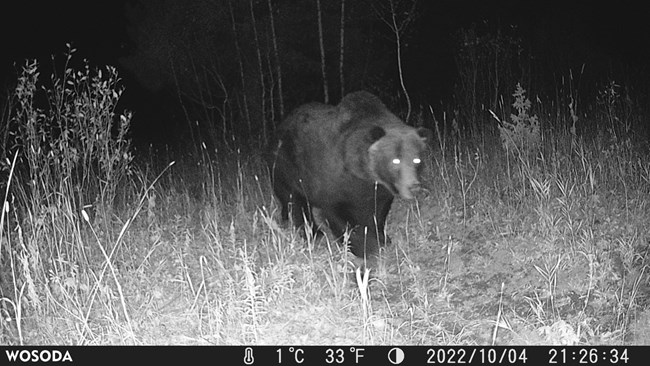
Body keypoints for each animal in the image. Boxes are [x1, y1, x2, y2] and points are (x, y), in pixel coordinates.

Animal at [266, 91, 428, 258]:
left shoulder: (377, 189)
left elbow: (378, 213)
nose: (413, 187)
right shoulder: (333, 180)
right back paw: (314, 234)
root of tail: (277, 131)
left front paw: (382, 239)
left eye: (417, 159)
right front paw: (362, 247)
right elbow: (338, 214)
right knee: (294, 200)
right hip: (285, 168)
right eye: (395, 160)